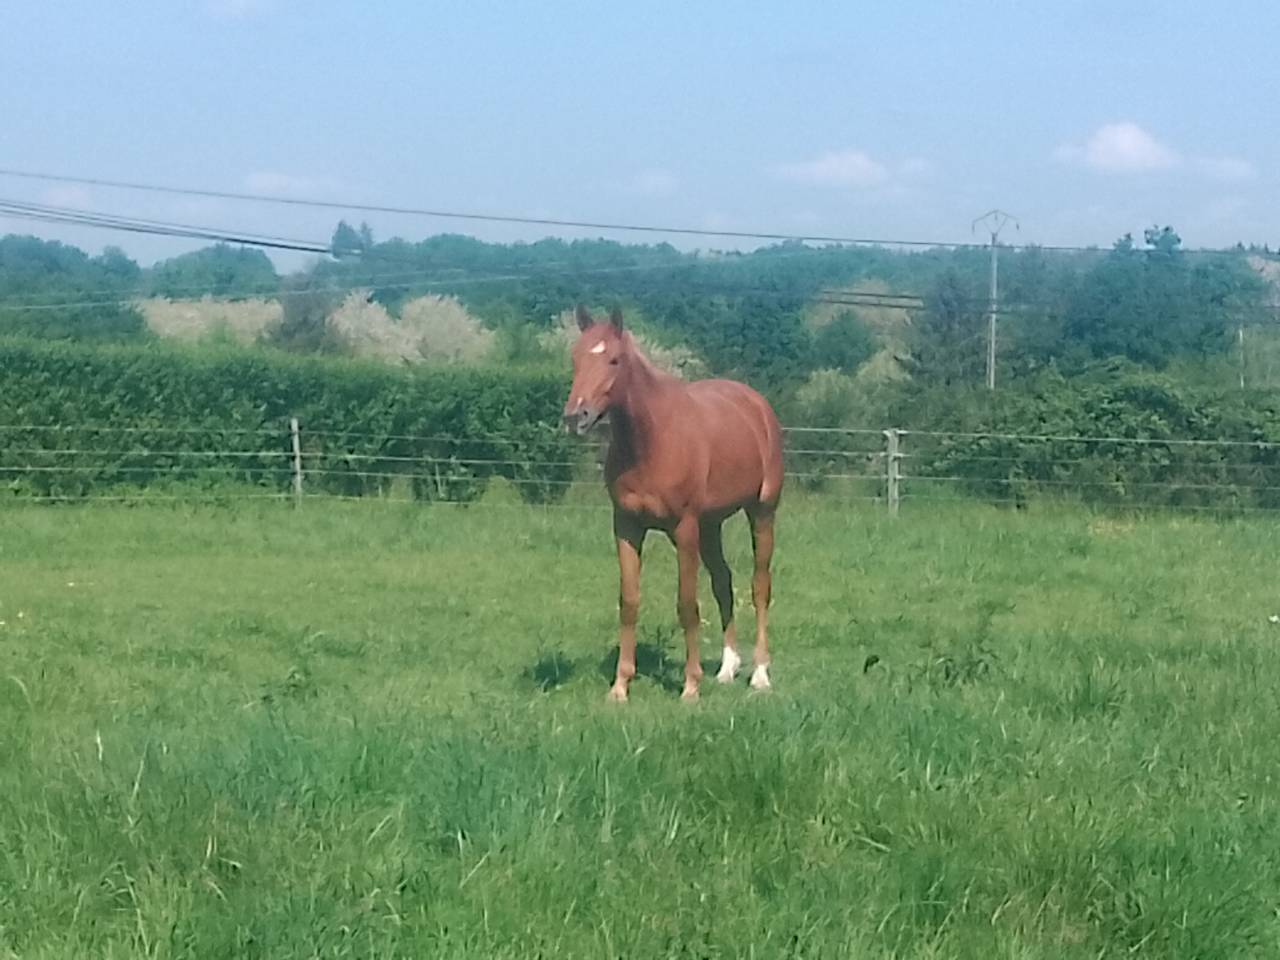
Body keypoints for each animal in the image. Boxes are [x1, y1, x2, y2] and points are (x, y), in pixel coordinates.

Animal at [562, 304, 784, 702]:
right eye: (575, 358)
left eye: (614, 360)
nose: (576, 417)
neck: (651, 439)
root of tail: (756, 404)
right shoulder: (626, 527)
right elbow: (629, 602)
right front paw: (620, 687)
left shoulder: (684, 529)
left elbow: (687, 604)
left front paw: (690, 686)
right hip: (711, 526)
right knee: (723, 582)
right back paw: (727, 668)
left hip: (761, 513)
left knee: (760, 586)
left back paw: (759, 674)